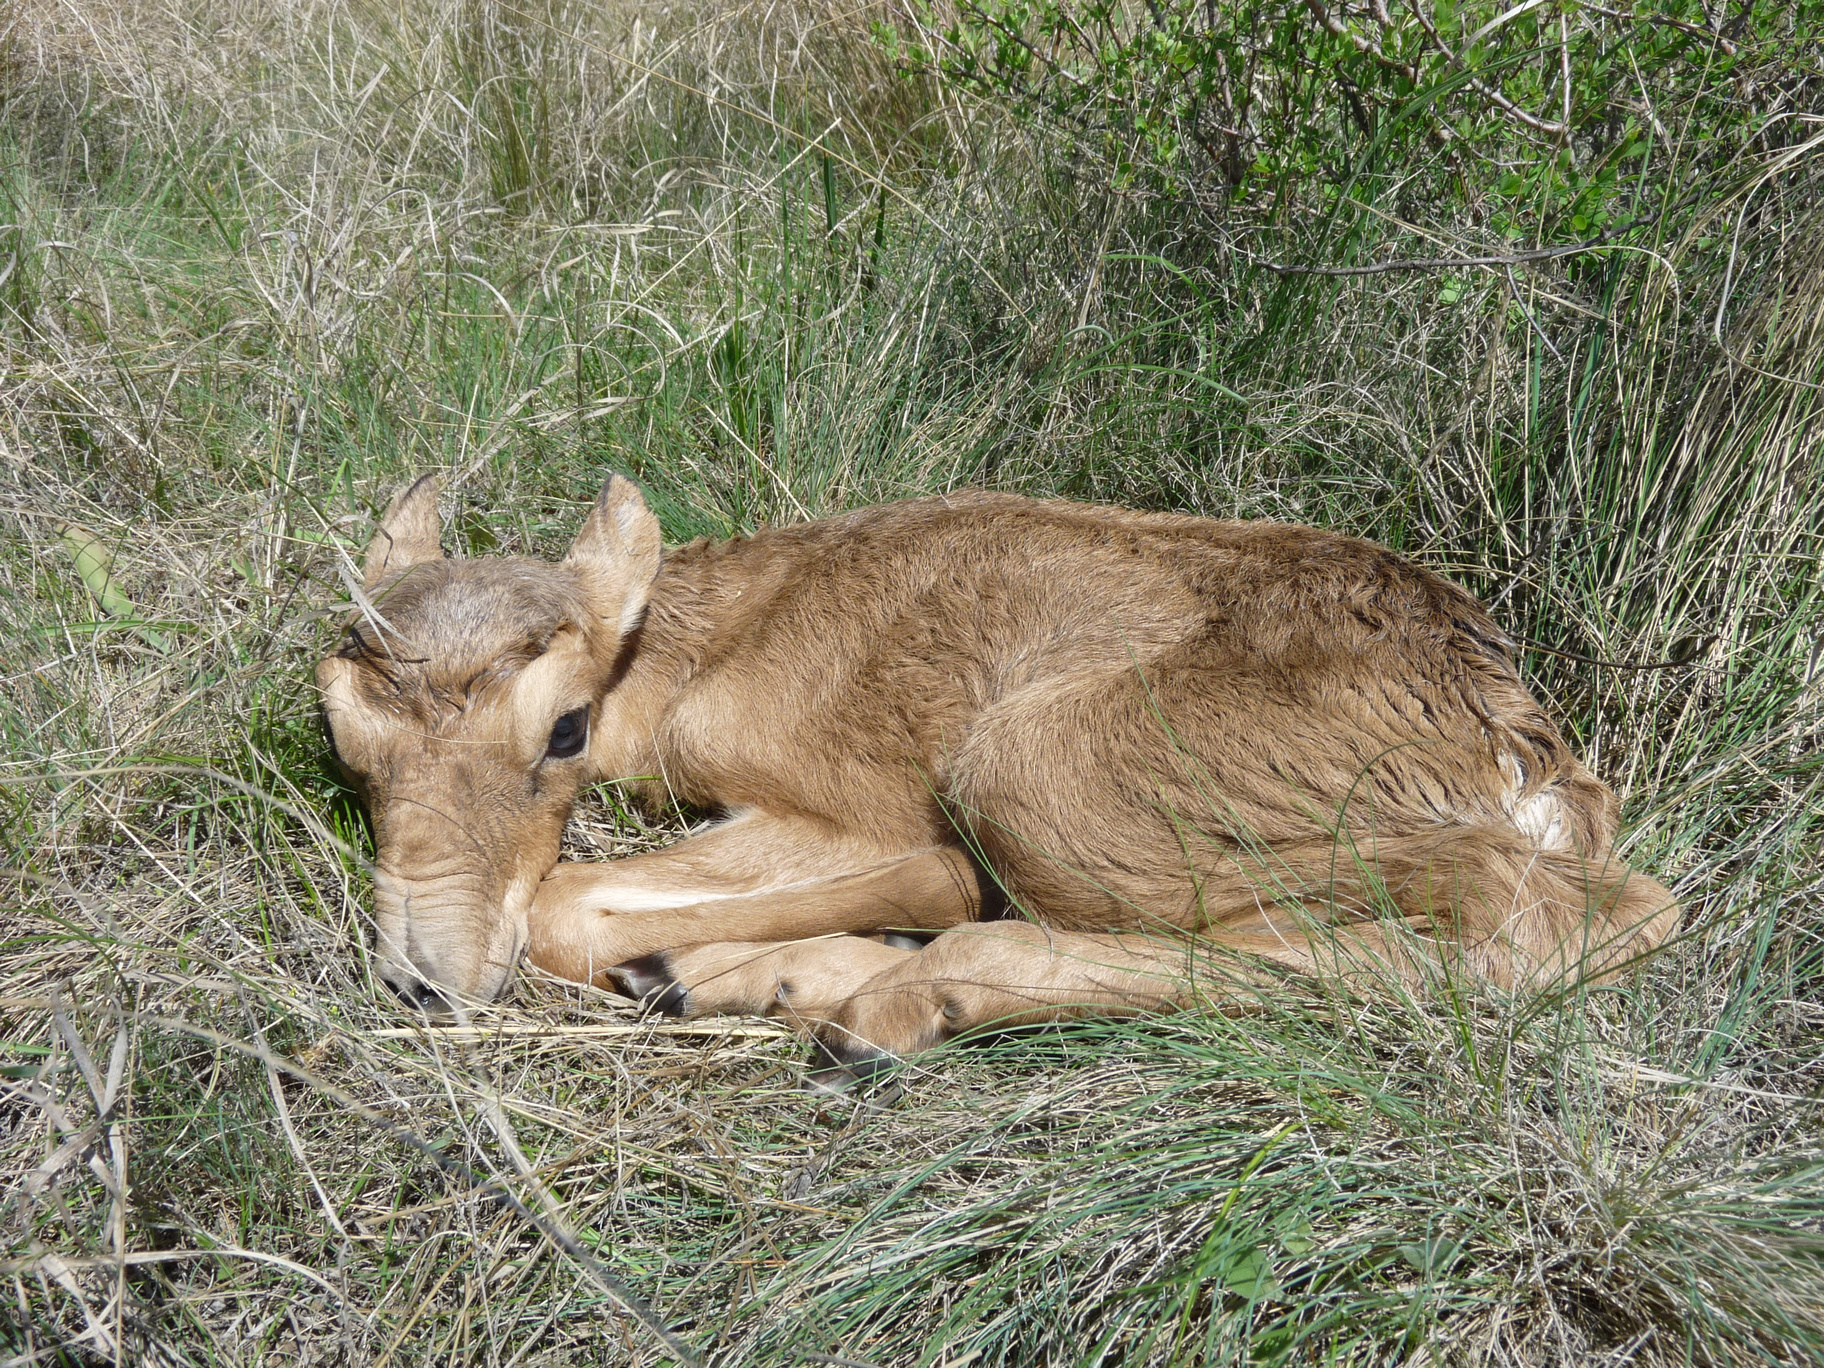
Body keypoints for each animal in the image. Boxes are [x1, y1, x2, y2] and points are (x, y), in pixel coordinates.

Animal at [317, 477, 1678, 1079]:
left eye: (562, 730)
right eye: (341, 737)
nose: (426, 979)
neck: (690, 655)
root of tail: (1524, 746)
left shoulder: (840, 798)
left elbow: (557, 903)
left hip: (1034, 774)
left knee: (1558, 911)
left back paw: (903, 996)